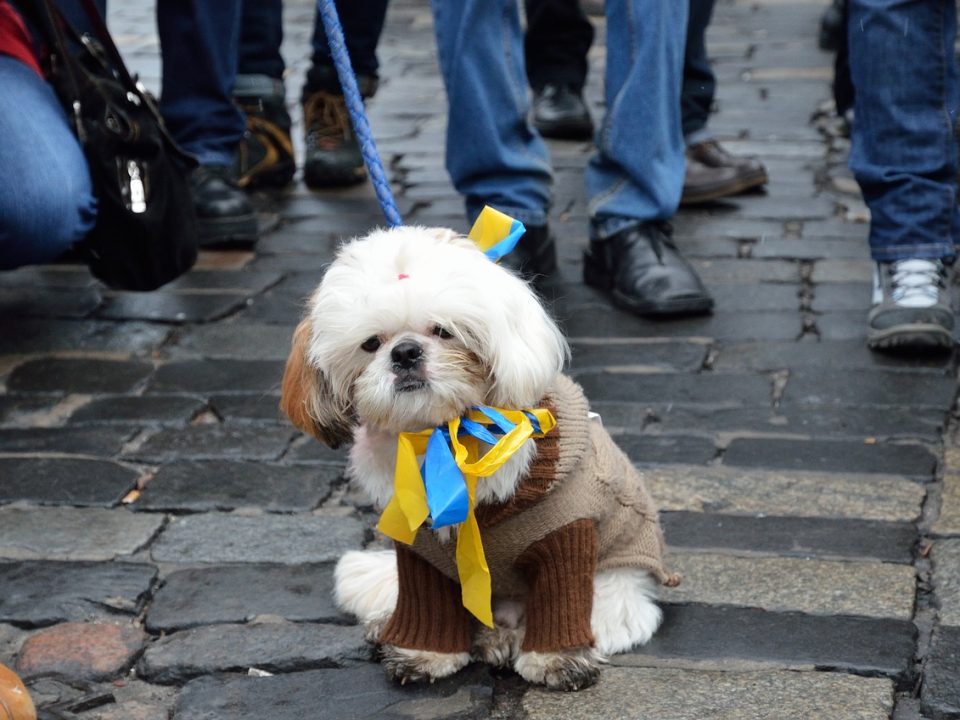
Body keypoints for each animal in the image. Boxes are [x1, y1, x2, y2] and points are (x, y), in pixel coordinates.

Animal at [282, 225, 680, 692]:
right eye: (370, 344)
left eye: (444, 330)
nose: (405, 353)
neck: (444, 435)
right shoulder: (420, 548)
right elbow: (427, 604)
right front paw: (425, 653)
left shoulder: (565, 534)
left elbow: (562, 601)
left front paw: (556, 659)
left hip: (616, 587)